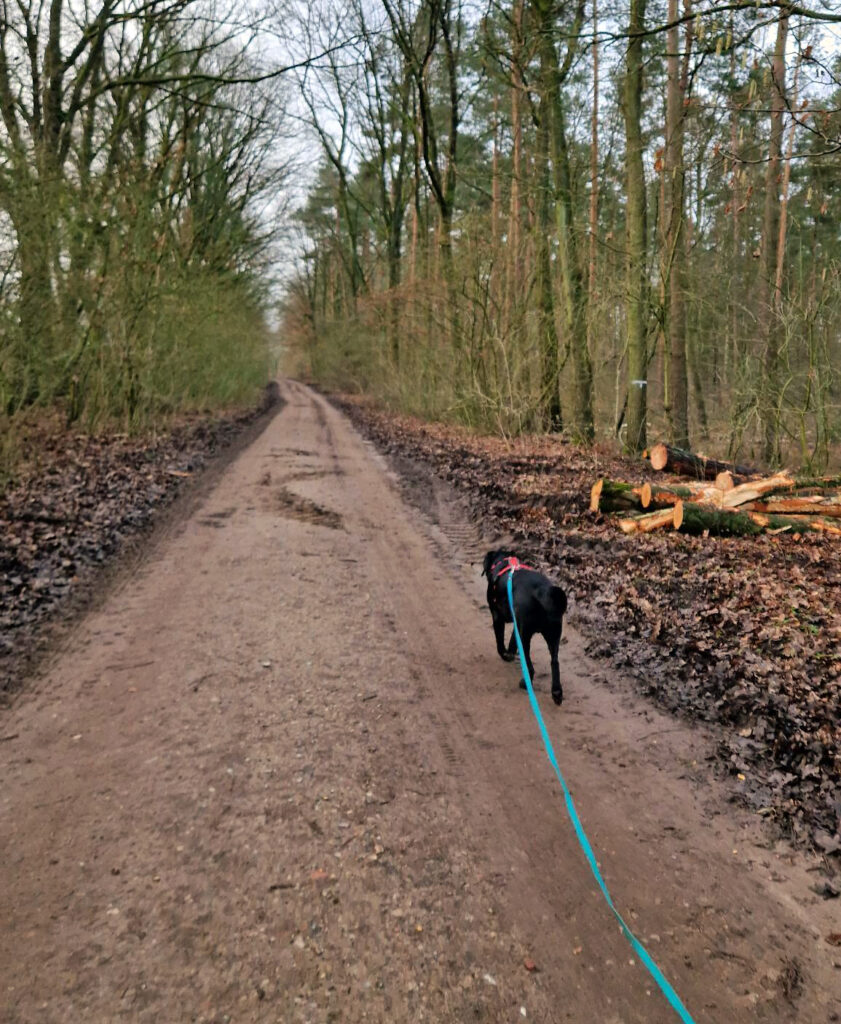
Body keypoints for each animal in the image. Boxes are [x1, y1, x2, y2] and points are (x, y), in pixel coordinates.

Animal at [481, 552, 569, 704]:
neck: (502, 563)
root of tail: (542, 591)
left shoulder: (497, 616)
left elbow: (500, 643)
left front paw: (505, 655)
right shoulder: (518, 624)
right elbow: (512, 641)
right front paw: (510, 653)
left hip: (526, 637)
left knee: (530, 666)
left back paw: (524, 683)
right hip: (553, 635)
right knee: (554, 662)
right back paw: (556, 692)